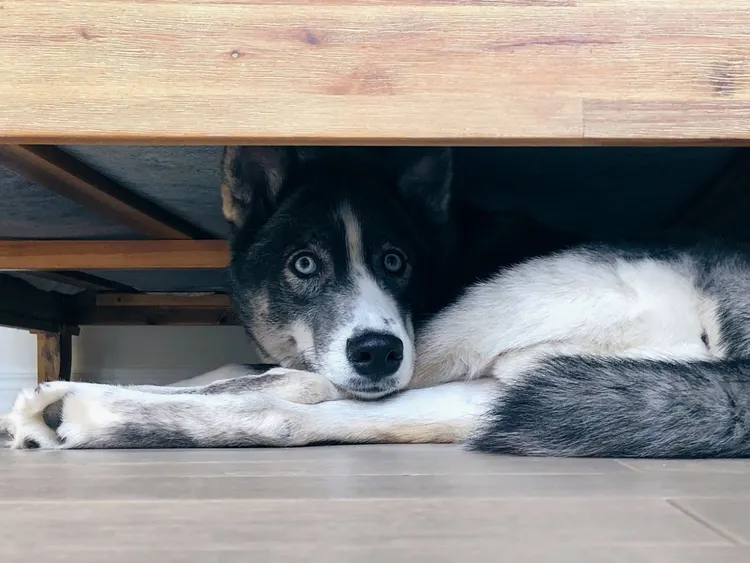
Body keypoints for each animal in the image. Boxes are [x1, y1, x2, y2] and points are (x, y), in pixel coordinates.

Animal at [4, 147, 750, 458]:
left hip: (481, 320)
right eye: (303, 264)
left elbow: (267, 380)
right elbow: (227, 371)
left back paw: (78, 409)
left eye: (397, 262)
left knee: (293, 402)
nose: (375, 352)